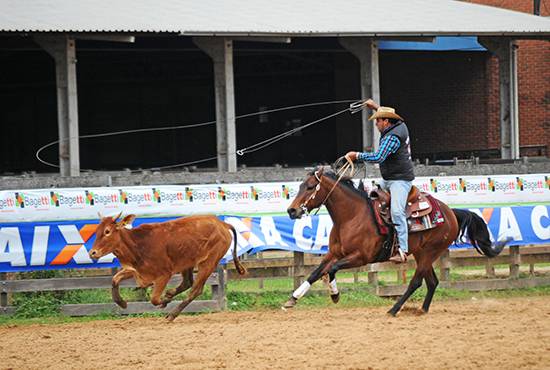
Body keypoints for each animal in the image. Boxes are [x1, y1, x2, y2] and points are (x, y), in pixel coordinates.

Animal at [89, 214, 247, 320]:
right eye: (97, 231)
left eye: (107, 231)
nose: (92, 253)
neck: (139, 244)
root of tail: (222, 224)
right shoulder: (138, 271)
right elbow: (115, 279)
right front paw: (121, 303)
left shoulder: (164, 275)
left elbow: (154, 299)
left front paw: (165, 301)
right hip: (187, 262)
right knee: (187, 282)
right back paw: (171, 294)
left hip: (209, 262)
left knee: (195, 289)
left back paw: (172, 314)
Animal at [286, 168, 506, 316]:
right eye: (299, 186)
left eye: (310, 187)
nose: (291, 210)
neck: (352, 216)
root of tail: (450, 212)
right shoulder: (334, 253)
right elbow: (316, 273)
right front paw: (292, 299)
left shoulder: (360, 257)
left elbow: (331, 270)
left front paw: (335, 295)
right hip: (422, 253)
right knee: (432, 282)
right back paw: (422, 310)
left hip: (430, 252)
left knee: (416, 282)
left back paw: (394, 309)